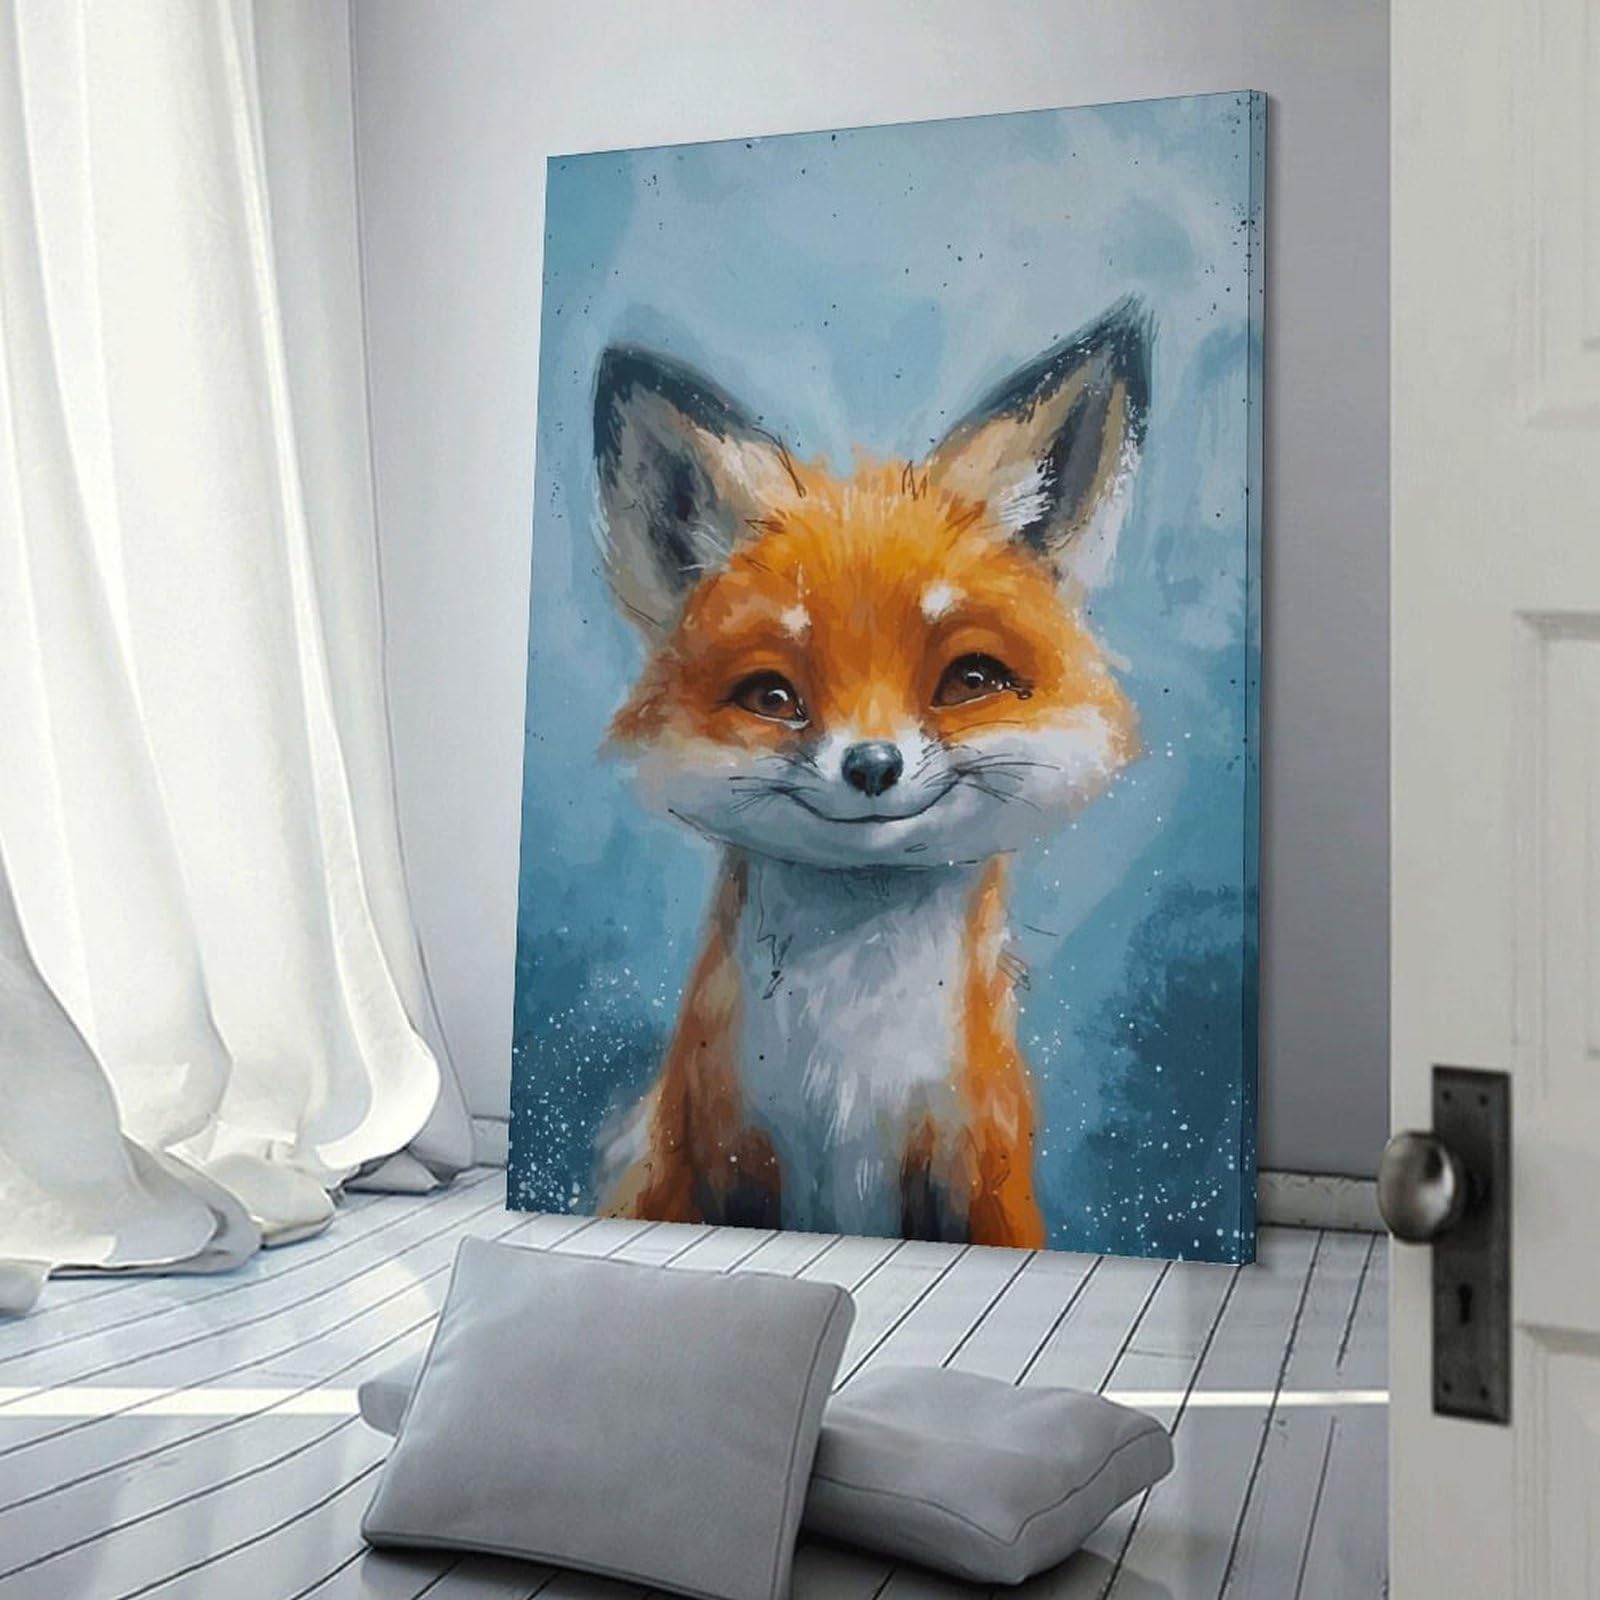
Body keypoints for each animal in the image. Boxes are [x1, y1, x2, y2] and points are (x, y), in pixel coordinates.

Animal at [589, 299, 1152, 1249]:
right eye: (773, 695)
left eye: (968, 680)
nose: (872, 764)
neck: (849, 1085)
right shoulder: (711, 1155)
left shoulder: (980, 1172)